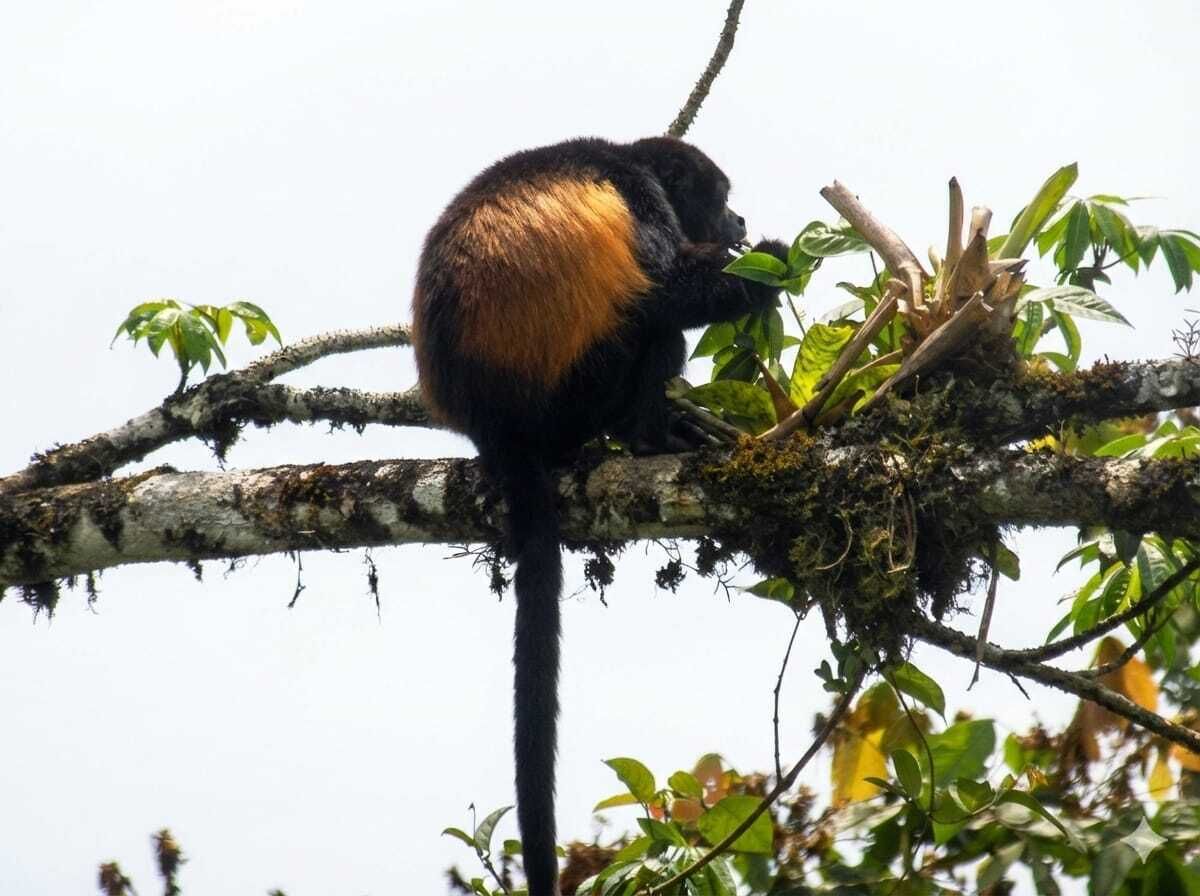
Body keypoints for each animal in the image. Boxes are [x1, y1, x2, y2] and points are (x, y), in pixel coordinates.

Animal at [411, 136, 787, 896]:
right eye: (719, 195)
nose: (737, 219)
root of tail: (495, 424)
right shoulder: (638, 193)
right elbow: (667, 288)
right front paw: (770, 261)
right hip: (579, 389)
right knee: (649, 323)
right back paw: (647, 435)